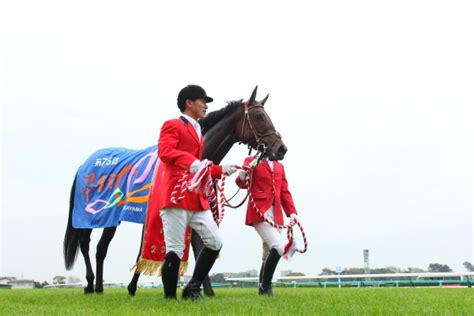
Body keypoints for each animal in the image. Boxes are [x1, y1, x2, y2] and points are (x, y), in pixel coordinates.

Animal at [62, 85, 286, 296]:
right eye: (259, 117)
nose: (281, 148)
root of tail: (84, 165)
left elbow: (197, 247)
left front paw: (203, 289)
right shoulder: (155, 215)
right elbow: (149, 250)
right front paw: (137, 287)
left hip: (112, 217)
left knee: (101, 249)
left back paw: (99, 287)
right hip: (91, 215)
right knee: (85, 243)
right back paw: (90, 284)